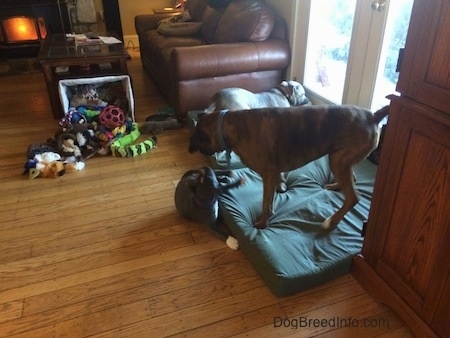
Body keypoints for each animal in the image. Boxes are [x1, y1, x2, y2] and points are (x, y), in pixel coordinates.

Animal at [188, 105, 388, 230]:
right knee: (351, 181)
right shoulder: (274, 173)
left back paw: (331, 222)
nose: (192, 149)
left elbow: (266, 202)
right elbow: (275, 190)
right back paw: (335, 186)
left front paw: (262, 223)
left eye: (197, 137)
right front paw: (278, 194)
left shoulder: (267, 175)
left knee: (353, 197)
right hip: (341, 160)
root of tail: (373, 116)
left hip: (338, 160)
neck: (230, 126)